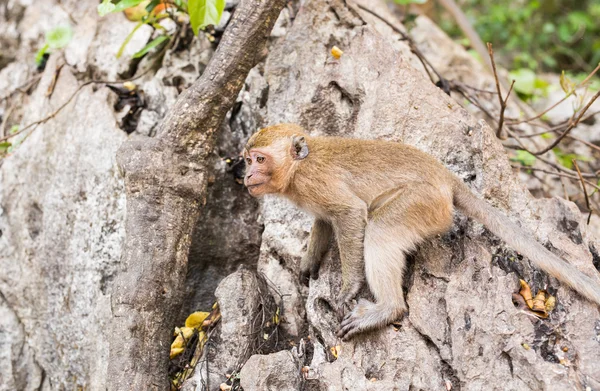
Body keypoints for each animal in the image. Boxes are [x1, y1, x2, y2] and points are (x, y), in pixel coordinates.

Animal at [243, 124, 600, 342]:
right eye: (247, 160)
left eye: (260, 159)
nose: (246, 175)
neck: (299, 167)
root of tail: (446, 178)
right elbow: (324, 221)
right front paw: (308, 265)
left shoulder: (315, 182)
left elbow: (350, 213)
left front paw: (348, 287)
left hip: (422, 204)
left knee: (380, 229)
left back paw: (388, 309)